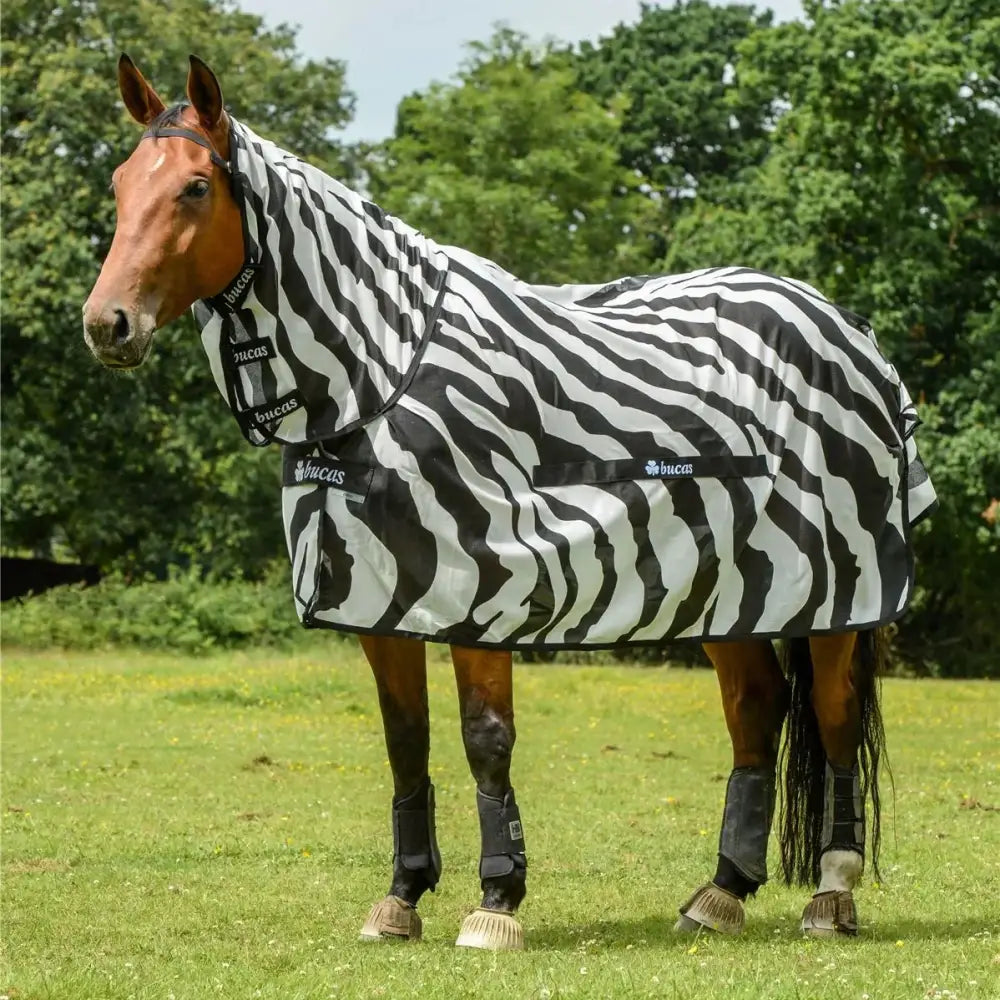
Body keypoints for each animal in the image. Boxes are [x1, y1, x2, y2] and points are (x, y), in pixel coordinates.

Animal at [82, 55, 936, 950]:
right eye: (120, 185)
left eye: (194, 188)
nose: (107, 324)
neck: (384, 369)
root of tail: (850, 329)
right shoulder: (382, 598)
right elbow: (406, 742)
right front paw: (402, 896)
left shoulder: (482, 585)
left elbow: (485, 740)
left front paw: (496, 901)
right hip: (730, 586)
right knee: (758, 707)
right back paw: (721, 892)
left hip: (838, 592)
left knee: (834, 720)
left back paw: (831, 896)